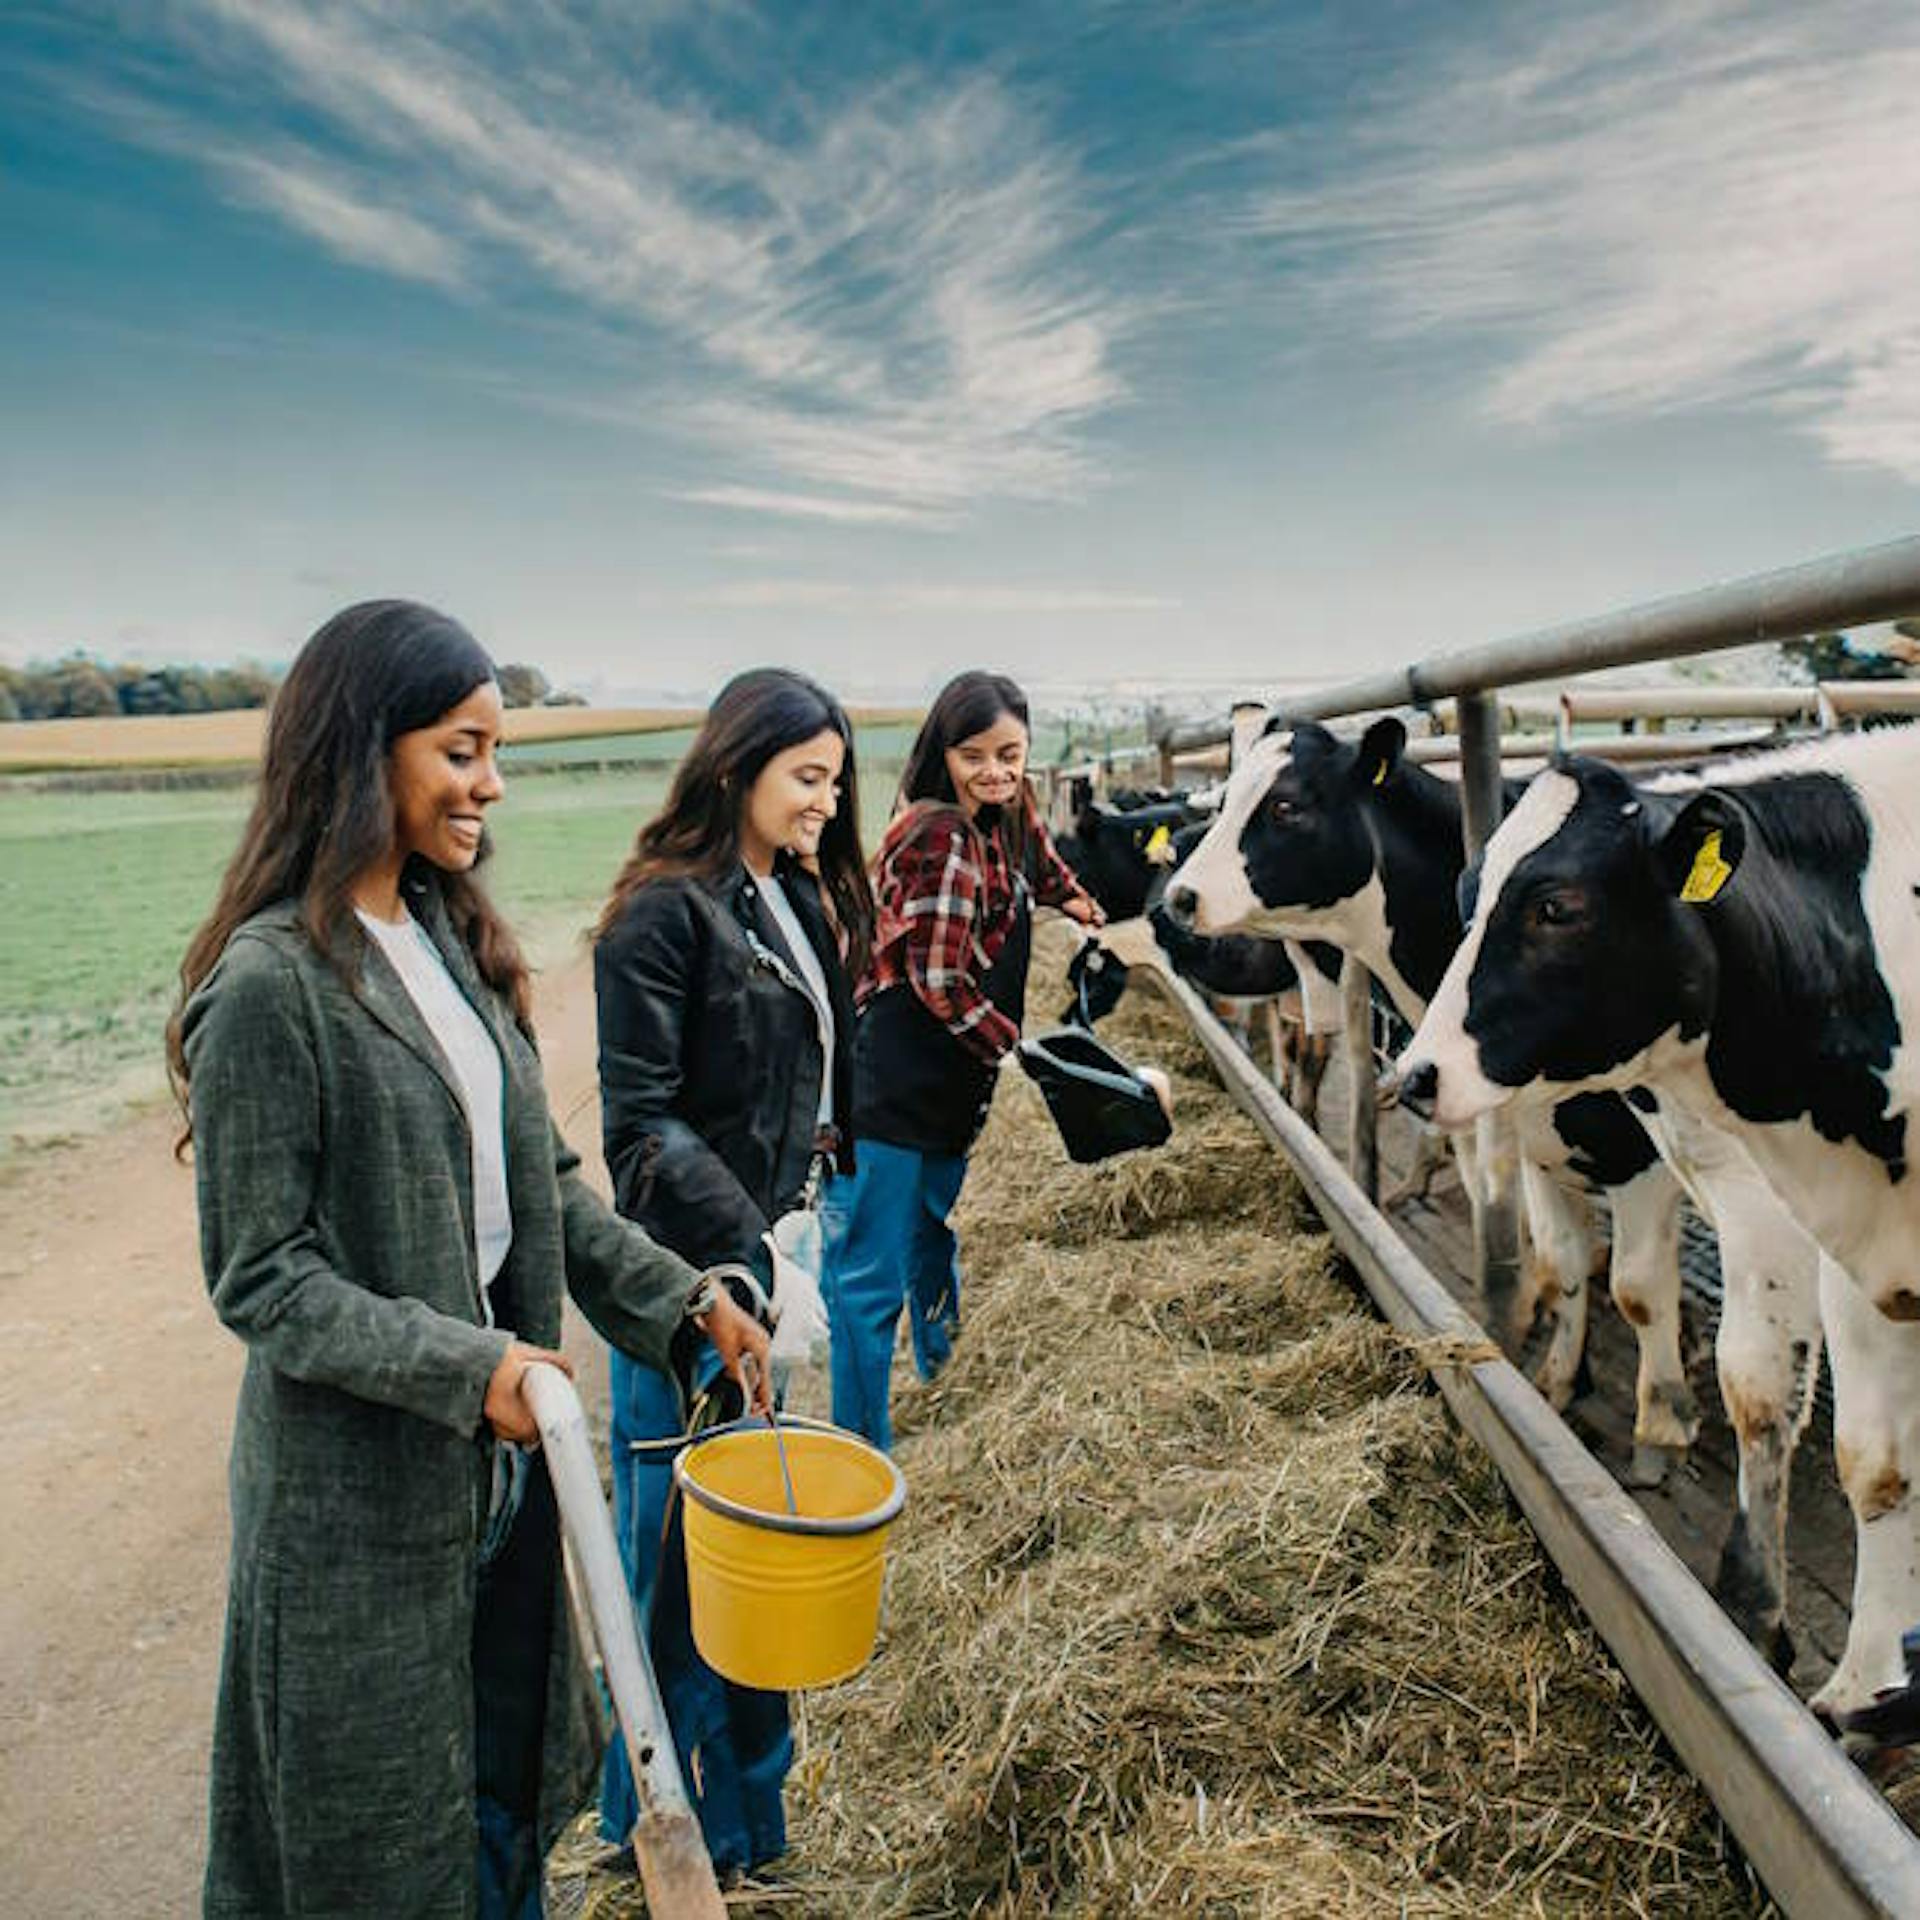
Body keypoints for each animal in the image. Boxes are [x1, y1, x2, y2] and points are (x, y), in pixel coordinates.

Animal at [1152, 714, 1697, 1474]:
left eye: (1287, 805)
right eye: (1227, 797)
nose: (1177, 899)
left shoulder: (1637, 1153)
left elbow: (1639, 1289)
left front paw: (1656, 1441)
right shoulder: (1527, 1134)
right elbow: (1559, 1257)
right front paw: (1558, 1372)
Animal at [1397, 721, 1920, 1712]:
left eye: (1557, 906)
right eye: (1466, 896)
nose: (1415, 1075)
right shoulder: (1851, 1251)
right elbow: (1864, 1456)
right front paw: (1849, 1684)